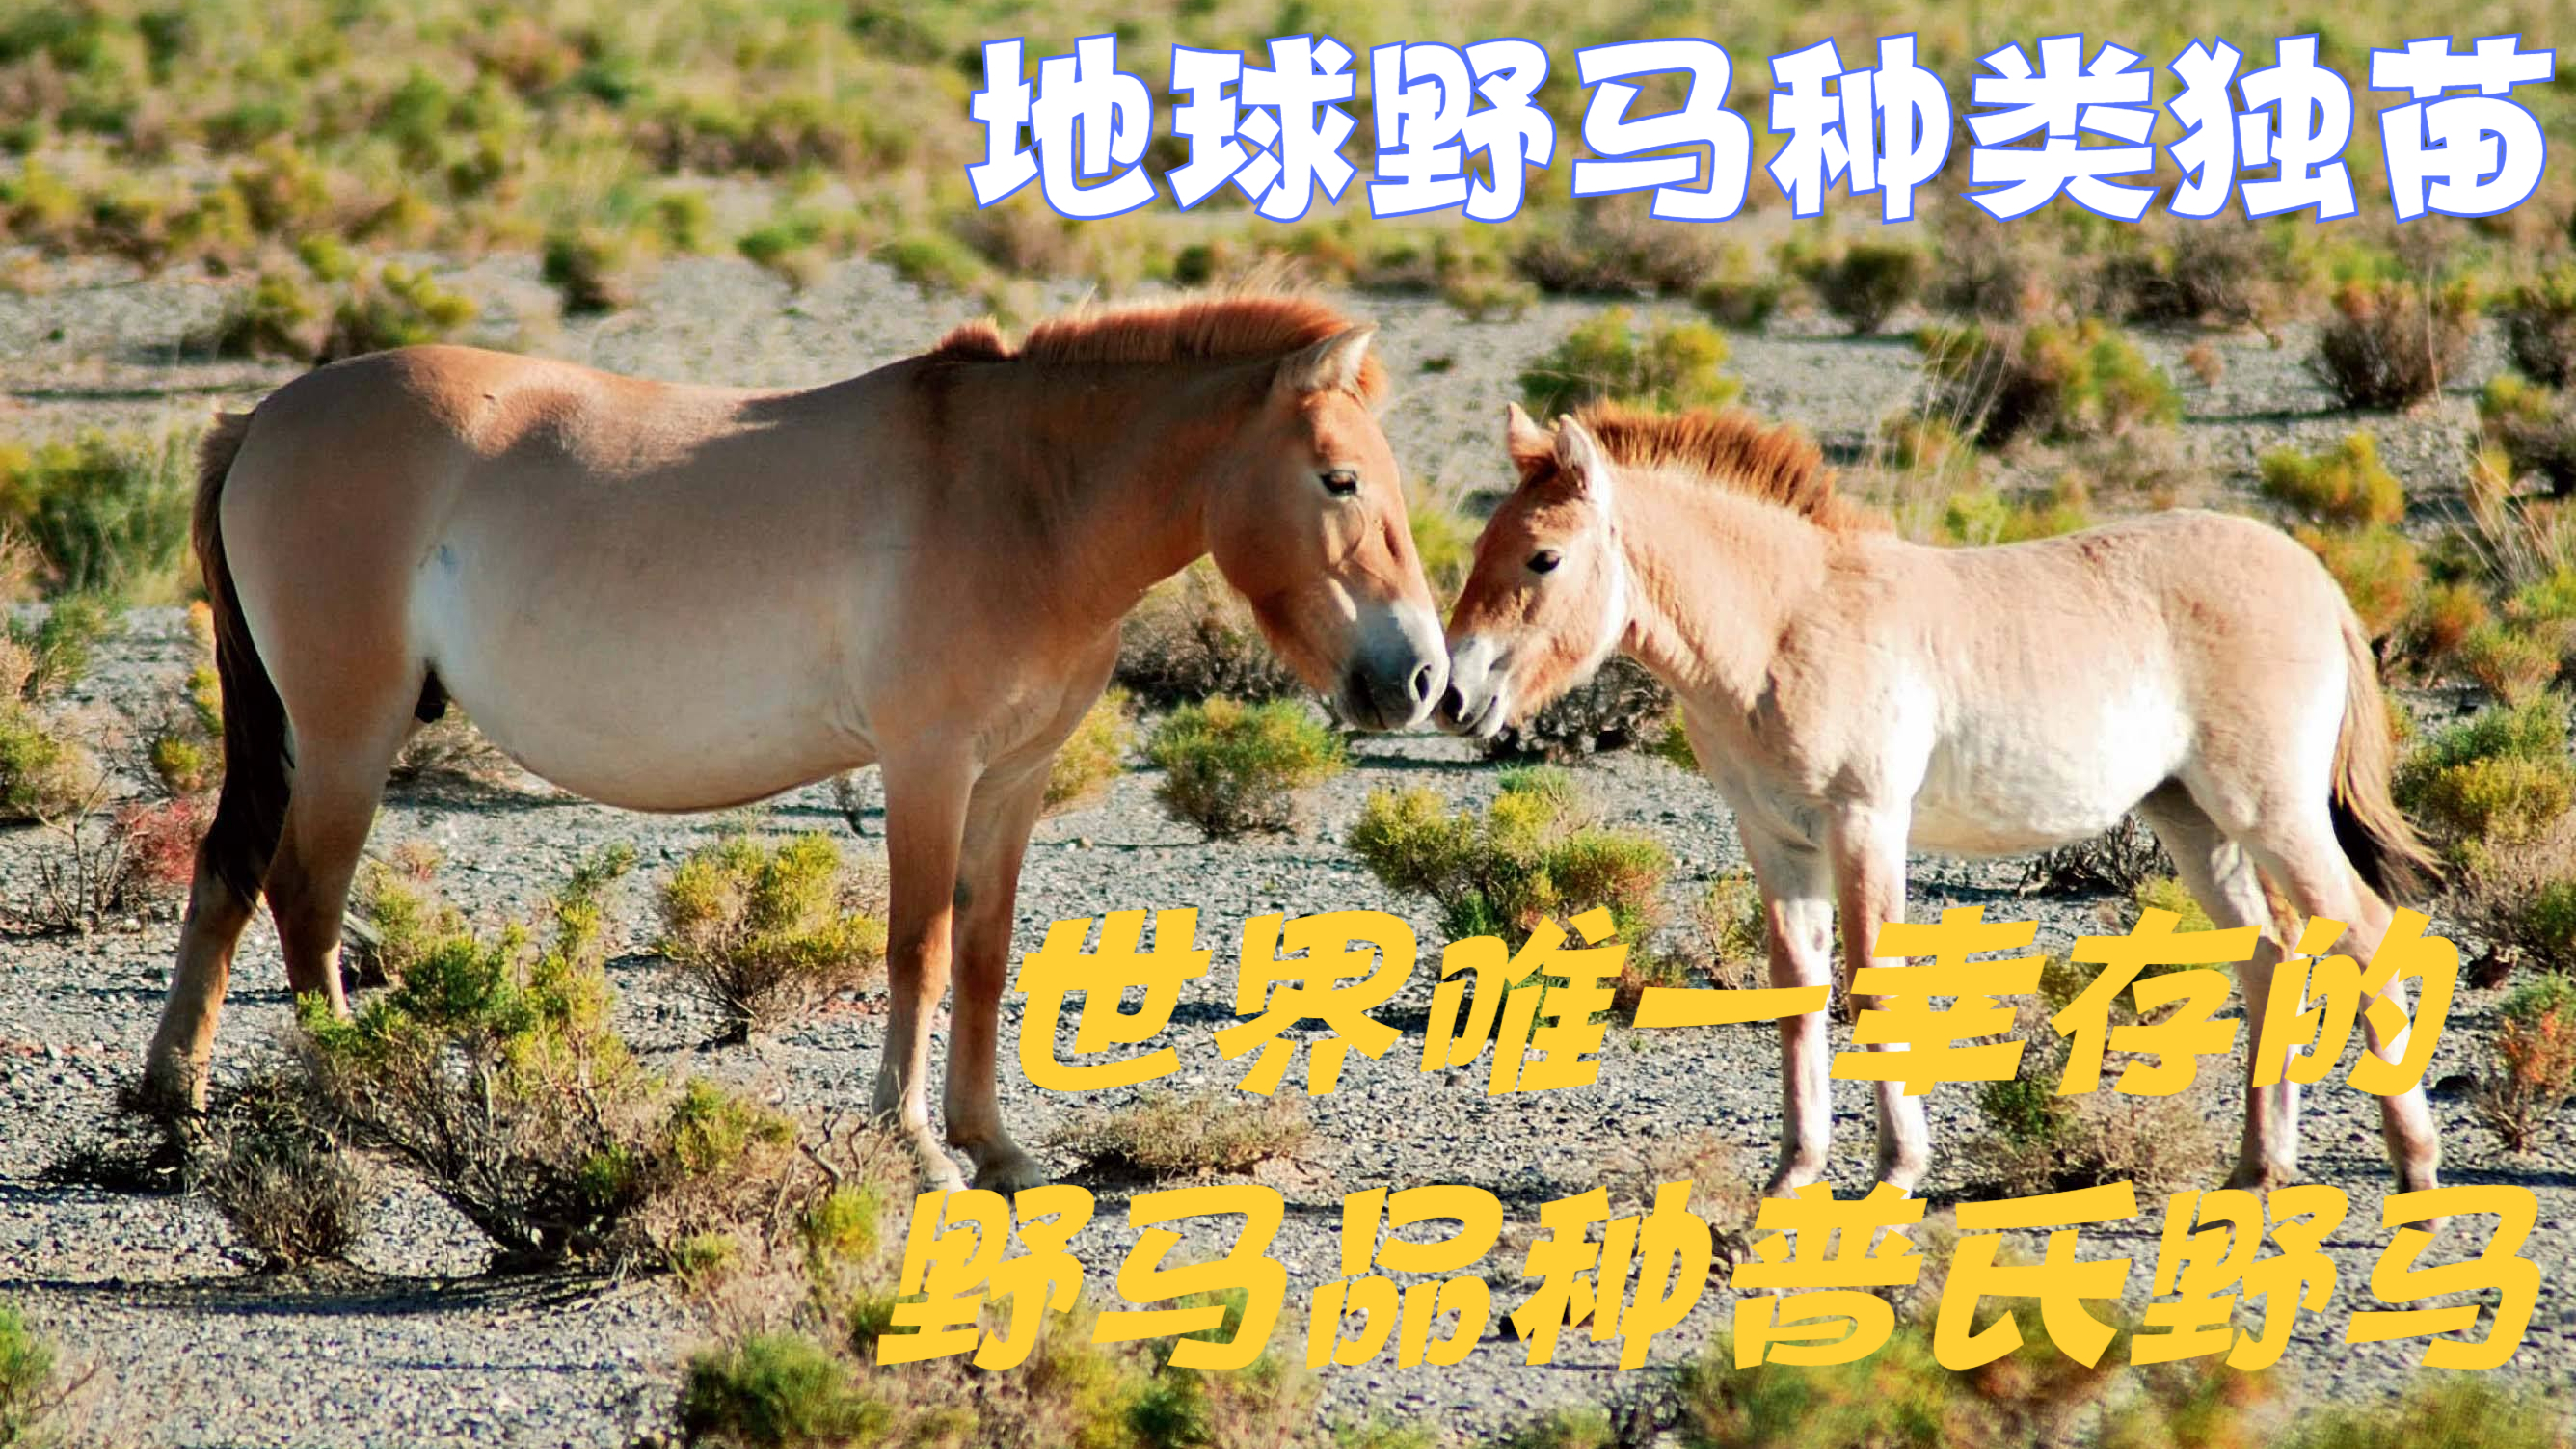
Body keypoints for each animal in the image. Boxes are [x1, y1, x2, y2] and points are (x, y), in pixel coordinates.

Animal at [140, 294, 1450, 1192]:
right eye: (1340, 479)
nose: (1420, 678)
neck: (1019, 498)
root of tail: (262, 418)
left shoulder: (1010, 781)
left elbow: (984, 953)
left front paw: (996, 1148)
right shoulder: (927, 768)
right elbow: (919, 950)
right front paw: (918, 1149)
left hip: (294, 735)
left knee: (228, 874)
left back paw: (174, 1100)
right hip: (348, 736)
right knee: (305, 901)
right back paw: (344, 1097)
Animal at [1435, 400, 2444, 1202]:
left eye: (1544, 557)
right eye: (1480, 547)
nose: (1452, 696)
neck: (1782, 626)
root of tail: (2316, 581)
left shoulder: (1866, 822)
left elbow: (1874, 982)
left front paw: (1895, 1171)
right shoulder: (1776, 840)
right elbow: (1798, 990)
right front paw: (1794, 1174)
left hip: (2269, 810)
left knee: (2362, 933)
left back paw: (2415, 1167)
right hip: (2196, 820)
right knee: (2272, 959)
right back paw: (2257, 1170)